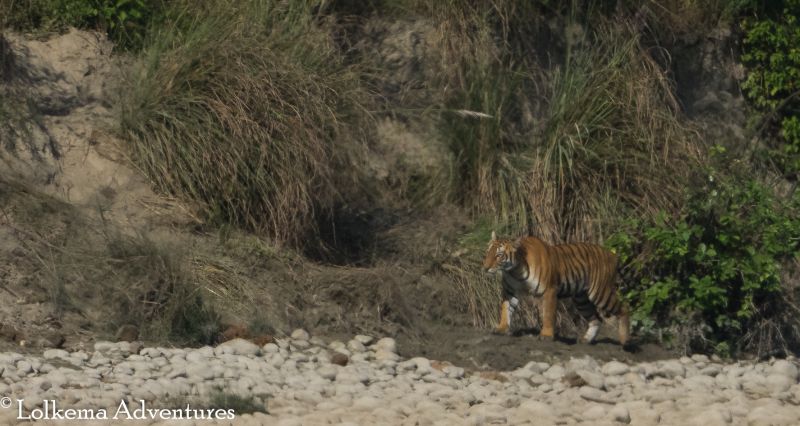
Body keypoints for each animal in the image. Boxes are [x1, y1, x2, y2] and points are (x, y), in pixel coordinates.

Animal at [482, 231, 632, 344]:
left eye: (499, 255)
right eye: (487, 252)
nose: (485, 268)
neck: (515, 270)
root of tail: (612, 254)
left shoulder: (549, 291)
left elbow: (548, 314)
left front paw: (546, 335)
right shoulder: (510, 291)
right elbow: (506, 310)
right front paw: (501, 328)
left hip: (600, 292)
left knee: (624, 307)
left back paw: (625, 341)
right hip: (581, 299)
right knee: (596, 319)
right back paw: (586, 340)